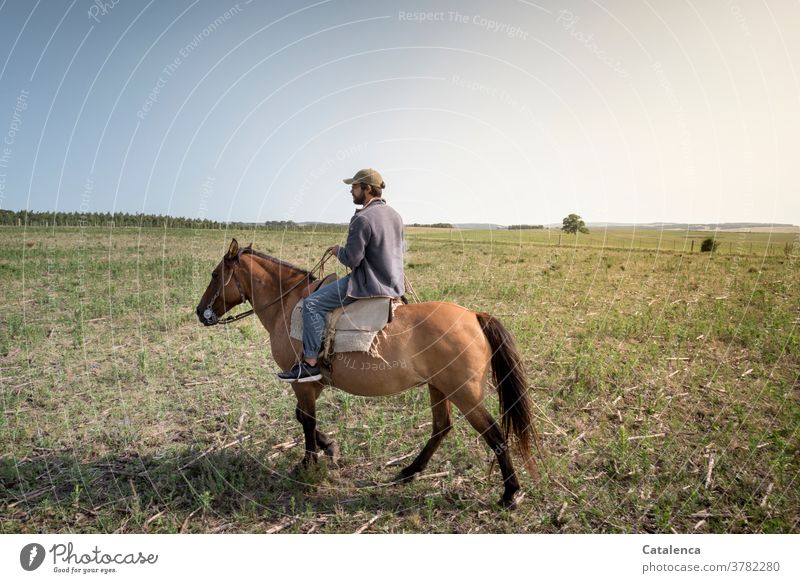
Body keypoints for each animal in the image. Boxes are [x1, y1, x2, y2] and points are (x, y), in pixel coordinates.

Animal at [197, 240, 540, 508]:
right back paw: (409, 471)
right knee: (441, 427)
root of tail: (473, 316)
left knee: (494, 434)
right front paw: (329, 447)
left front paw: (308, 463)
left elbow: (306, 420)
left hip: (464, 393)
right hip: (439, 387)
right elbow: (303, 418)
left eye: (215, 275)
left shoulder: (302, 383)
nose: (200, 312)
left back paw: (511, 493)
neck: (290, 305)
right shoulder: (312, 384)